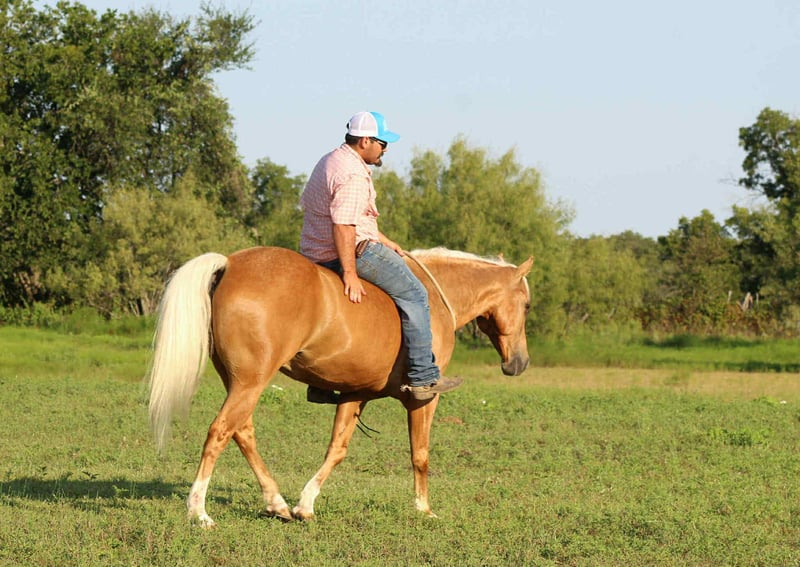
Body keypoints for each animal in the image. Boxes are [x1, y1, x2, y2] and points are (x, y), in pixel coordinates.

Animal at [148, 245, 533, 526]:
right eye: (527, 305)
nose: (519, 363)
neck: (435, 299)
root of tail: (230, 264)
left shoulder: (354, 394)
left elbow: (337, 450)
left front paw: (305, 504)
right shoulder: (424, 399)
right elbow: (420, 454)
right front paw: (424, 509)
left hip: (240, 383)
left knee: (242, 432)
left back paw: (277, 503)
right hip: (250, 382)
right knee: (219, 432)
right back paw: (199, 511)